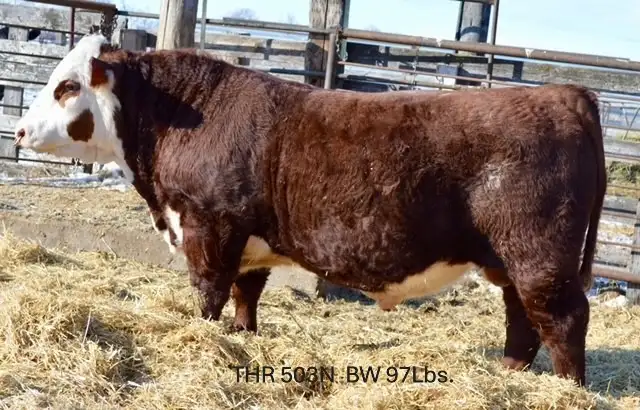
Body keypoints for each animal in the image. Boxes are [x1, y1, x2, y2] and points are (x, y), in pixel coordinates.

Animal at [13, 34, 606, 387]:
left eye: (66, 86)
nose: (17, 131)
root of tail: (566, 92)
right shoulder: (248, 240)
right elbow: (245, 294)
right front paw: (244, 338)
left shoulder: (209, 225)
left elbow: (208, 293)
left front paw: (206, 337)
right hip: (509, 259)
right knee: (522, 317)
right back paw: (511, 377)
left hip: (539, 254)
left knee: (562, 318)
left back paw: (566, 388)